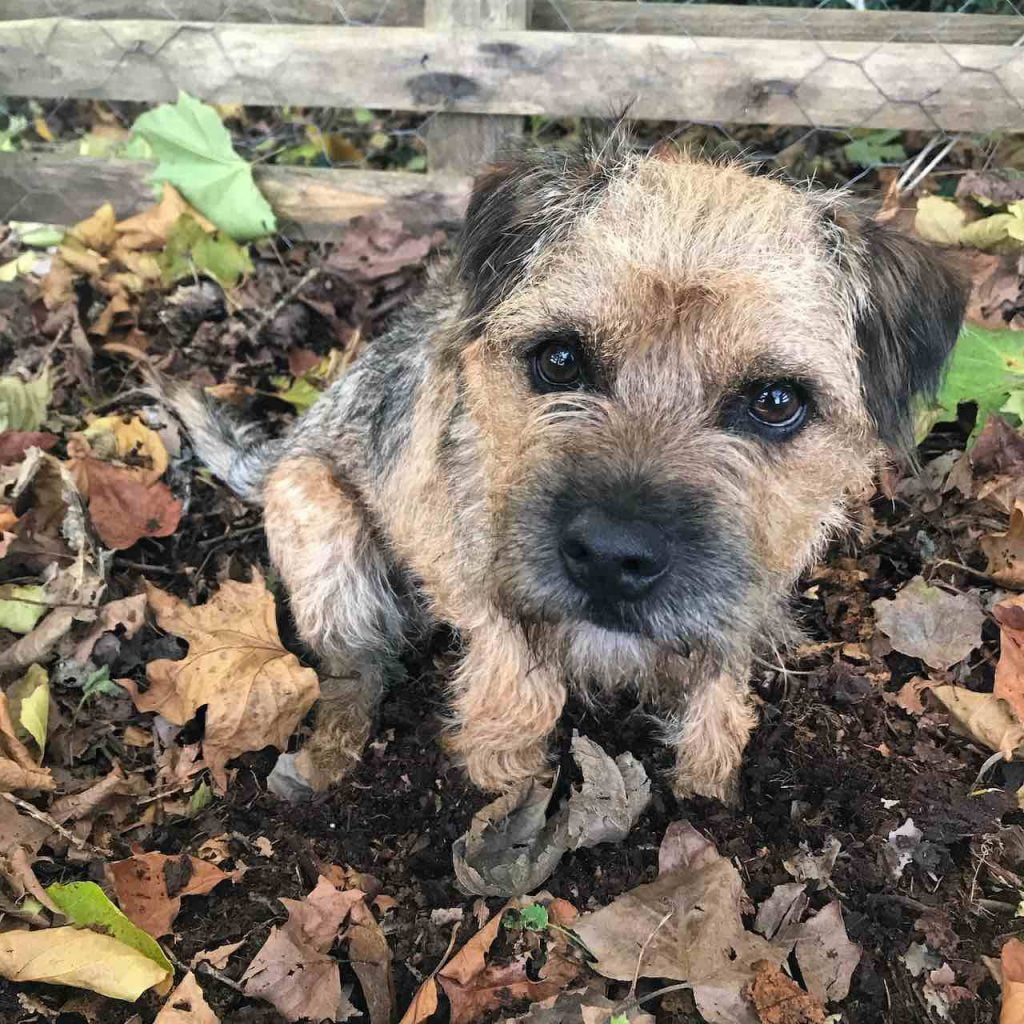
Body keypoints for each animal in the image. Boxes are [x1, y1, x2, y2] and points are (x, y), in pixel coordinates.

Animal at [165, 136, 958, 802]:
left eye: (775, 401)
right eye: (559, 359)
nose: (610, 557)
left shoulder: (743, 596)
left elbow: (718, 686)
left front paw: (710, 780)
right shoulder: (484, 586)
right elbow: (519, 688)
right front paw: (506, 779)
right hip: (317, 515)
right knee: (351, 665)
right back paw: (328, 757)